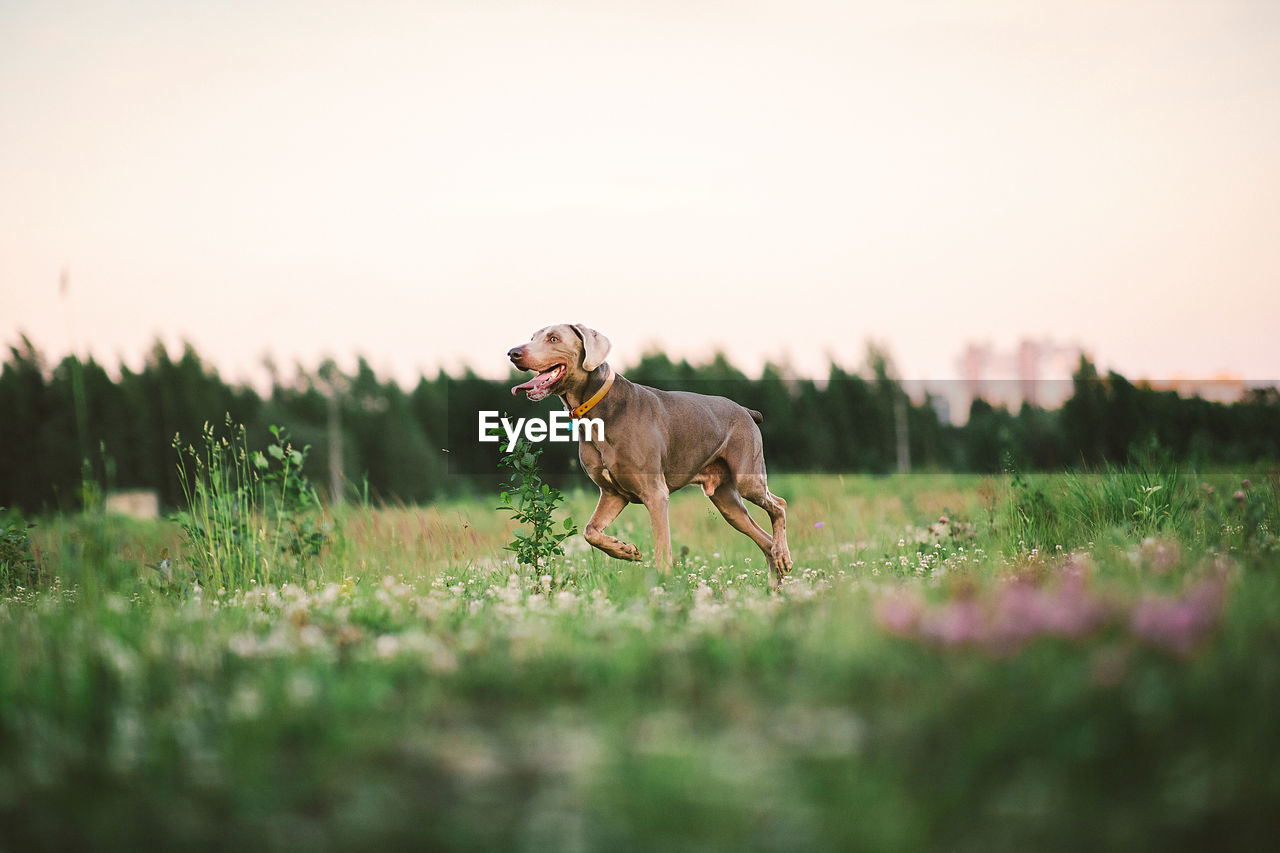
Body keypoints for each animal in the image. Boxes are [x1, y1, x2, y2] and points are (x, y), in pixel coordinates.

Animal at [506, 324, 788, 584]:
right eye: (532, 337)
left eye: (553, 338)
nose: (512, 352)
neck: (598, 409)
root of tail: (747, 411)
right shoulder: (612, 494)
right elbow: (590, 531)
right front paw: (626, 550)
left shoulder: (655, 493)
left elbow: (662, 549)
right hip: (726, 500)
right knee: (764, 541)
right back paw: (776, 581)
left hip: (747, 478)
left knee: (780, 505)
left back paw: (783, 556)